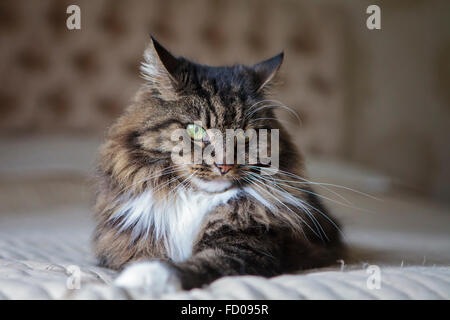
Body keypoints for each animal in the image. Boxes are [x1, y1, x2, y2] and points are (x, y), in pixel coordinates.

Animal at [93, 36, 342, 294]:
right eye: (196, 130)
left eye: (245, 135)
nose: (224, 165)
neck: (194, 198)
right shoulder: (133, 241)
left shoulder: (248, 246)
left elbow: (201, 264)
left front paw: (142, 277)